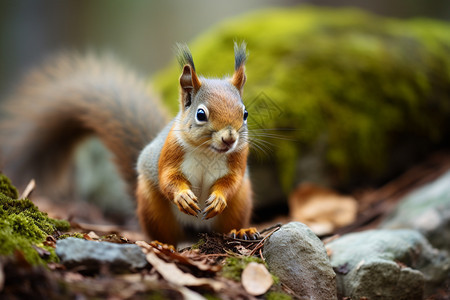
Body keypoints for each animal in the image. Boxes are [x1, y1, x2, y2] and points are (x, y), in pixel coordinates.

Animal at [0, 42, 258, 246]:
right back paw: (162, 245)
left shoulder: (238, 158)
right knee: (167, 233)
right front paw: (183, 196)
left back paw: (241, 230)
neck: (208, 152)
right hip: (152, 205)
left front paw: (219, 198)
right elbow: (168, 178)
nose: (229, 138)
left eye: (245, 113)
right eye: (201, 114)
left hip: (240, 202)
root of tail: (194, 234)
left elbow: (231, 181)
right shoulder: (169, 153)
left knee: (230, 219)